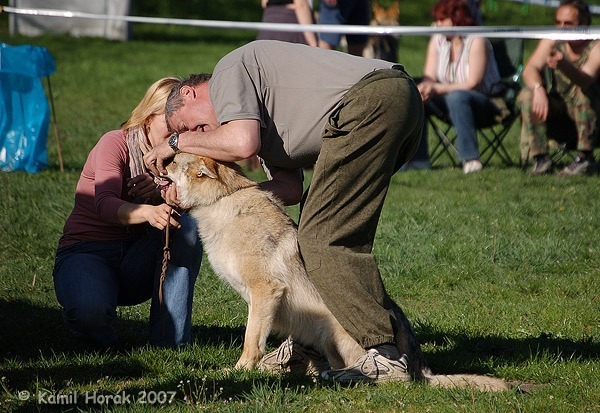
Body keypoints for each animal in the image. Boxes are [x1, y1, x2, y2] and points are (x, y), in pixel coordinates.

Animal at [165, 154, 366, 370]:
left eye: (174, 161)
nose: (160, 164)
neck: (222, 200)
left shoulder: (265, 289)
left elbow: (251, 340)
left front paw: (240, 370)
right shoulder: (255, 299)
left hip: (331, 337)